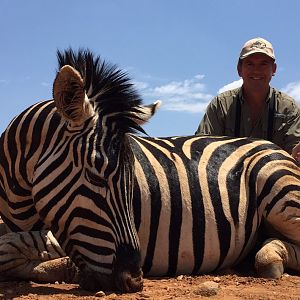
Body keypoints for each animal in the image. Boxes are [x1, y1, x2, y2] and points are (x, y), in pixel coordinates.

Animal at [0, 49, 298, 292]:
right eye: (96, 175)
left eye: (132, 183)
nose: (134, 280)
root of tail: (269, 144)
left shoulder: (65, 233)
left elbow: (7, 249)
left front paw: (62, 267)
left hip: (279, 188)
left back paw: (272, 255)